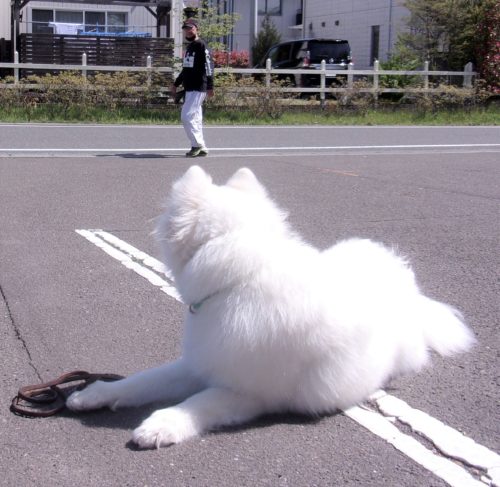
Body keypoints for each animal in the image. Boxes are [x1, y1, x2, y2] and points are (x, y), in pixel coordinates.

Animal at [67, 166, 475, 448]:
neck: (242, 275)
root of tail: (407, 285)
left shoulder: (246, 392)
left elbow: (196, 403)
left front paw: (160, 425)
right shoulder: (201, 362)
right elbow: (142, 380)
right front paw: (95, 394)